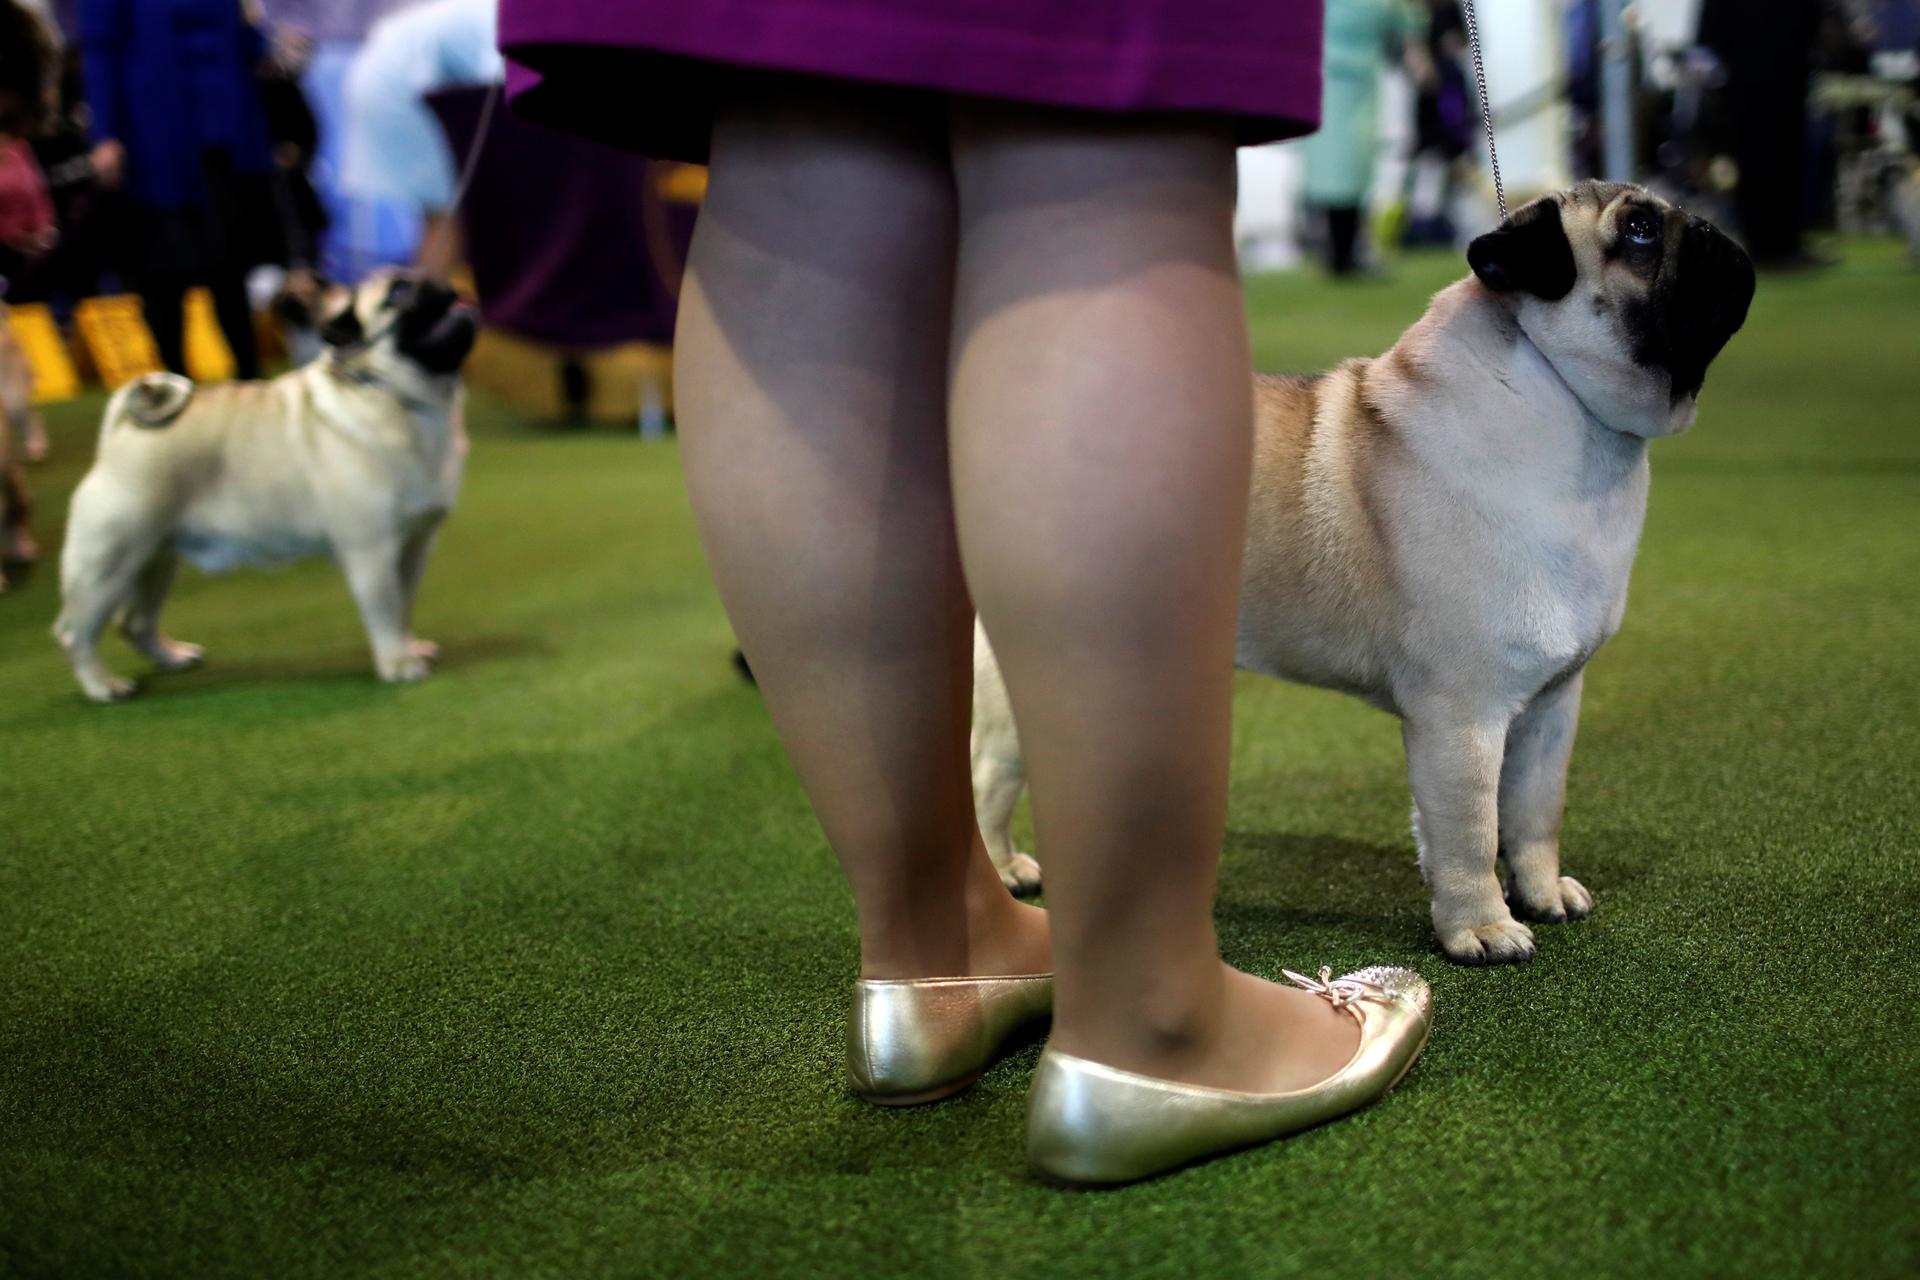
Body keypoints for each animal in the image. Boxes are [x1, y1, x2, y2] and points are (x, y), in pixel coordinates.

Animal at [55, 272, 476, 706]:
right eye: (399, 293)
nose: (443, 284)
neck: (393, 396)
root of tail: (118, 433)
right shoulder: (371, 551)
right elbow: (387, 611)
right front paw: (399, 664)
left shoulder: (414, 547)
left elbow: (404, 605)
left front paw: (411, 647)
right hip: (107, 563)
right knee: (75, 633)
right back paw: (102, 685)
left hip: (152, 556)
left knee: (135, 621)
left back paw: (172, 658)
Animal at [975, 180, 1758, 959]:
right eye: (1639, 231)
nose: (1712, 230)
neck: (1564, 408)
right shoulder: (1461, 716)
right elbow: (1470, 832)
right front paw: (1481, 927)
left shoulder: (1550, 707)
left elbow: (1534, 815)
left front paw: (1539, 894)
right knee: (987, 781)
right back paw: (1003, 880)